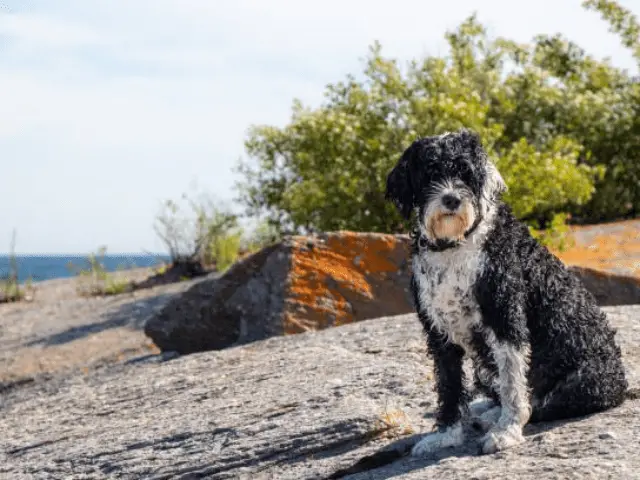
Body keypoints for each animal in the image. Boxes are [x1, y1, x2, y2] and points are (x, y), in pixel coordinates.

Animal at [384, 130, 624, 454]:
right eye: (430, 173)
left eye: (466, 172)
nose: (451, 199)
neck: (457, 244)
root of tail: (620, 382)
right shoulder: (438, 332)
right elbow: (449, 385)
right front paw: (445, 434)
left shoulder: (504, 316)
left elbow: (512, 382)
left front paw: (506, 431)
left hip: (584, 380)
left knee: (543, 404)